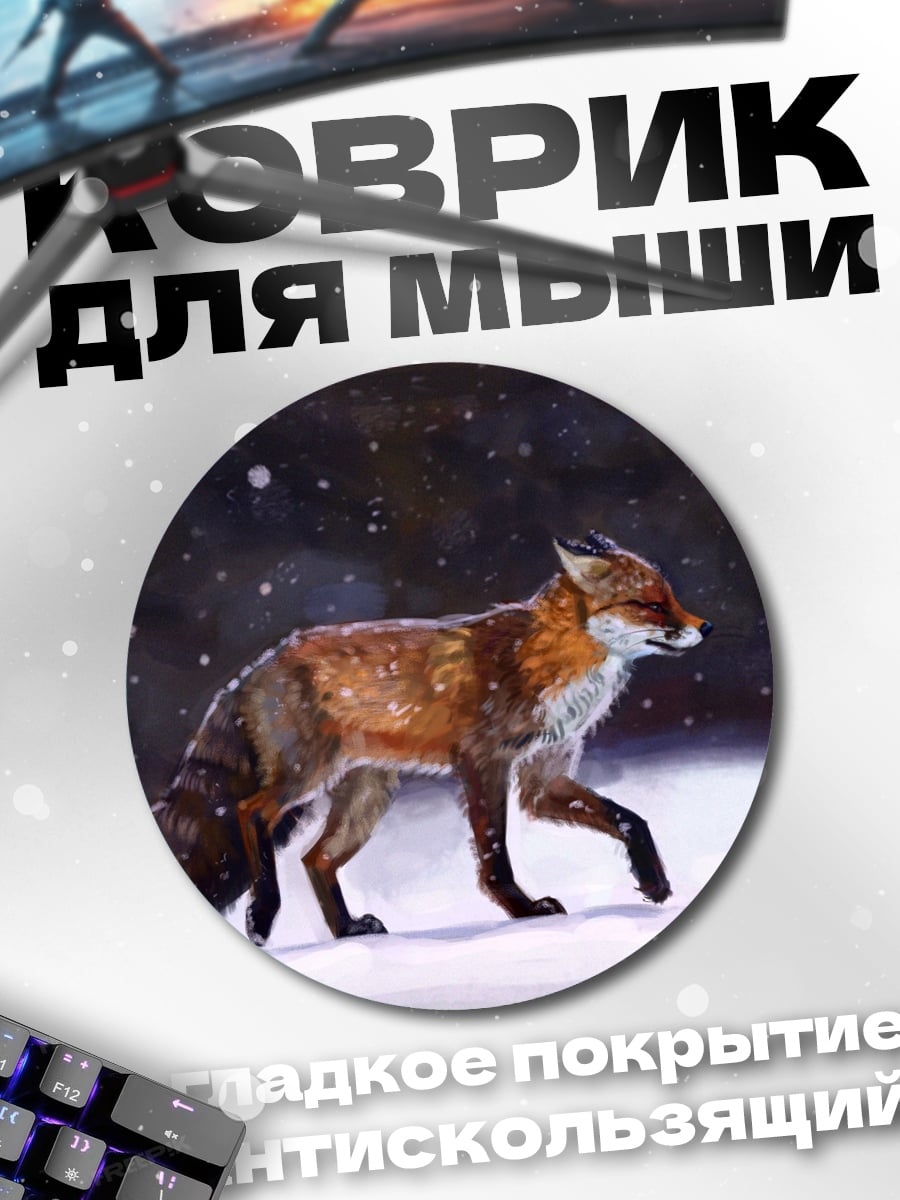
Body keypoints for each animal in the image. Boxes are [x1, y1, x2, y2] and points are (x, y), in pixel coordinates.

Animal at [153, 531, 712, 945]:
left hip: (368, 797)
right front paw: (523, 911)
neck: (552, 658)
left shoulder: (544, 776)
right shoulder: (484, 761)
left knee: (316, 858)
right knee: (250, 812)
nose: (706, 627)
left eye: (671, 599)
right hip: (304, 777)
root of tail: (255, 667)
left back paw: (347, 931)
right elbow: (494, 855)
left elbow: (631, 819)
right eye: (651, 605)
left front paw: (654, 881)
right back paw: (264, 911)